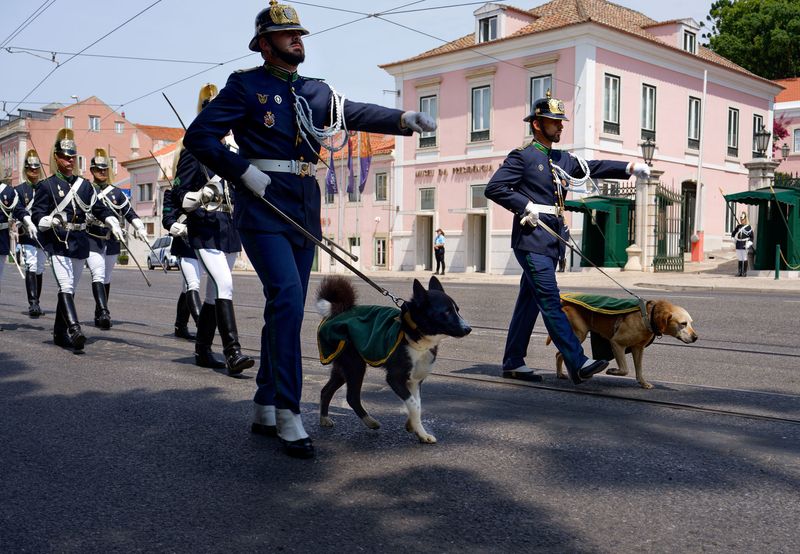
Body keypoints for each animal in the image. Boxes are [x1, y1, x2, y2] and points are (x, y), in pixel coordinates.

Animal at [316, 274, 472, 442]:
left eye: (457, 310)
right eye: (447, 312)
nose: (469, 329)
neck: (413, 332)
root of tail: (337, 312)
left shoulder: (415, 380)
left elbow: (417, 403)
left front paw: (414, 426)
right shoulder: (395, 378)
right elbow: (413, 404)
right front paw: (422, 433)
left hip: (342, 367)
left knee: (326, 390)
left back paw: (324, 419)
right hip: (355, 365)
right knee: (352, 397)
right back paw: (370, 421)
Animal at [552, 298, 700, 388]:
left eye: (691, 323)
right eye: (683, 323)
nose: (696, 337)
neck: (648, 317)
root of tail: (564, 303)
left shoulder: (638, 349)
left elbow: (639, 369)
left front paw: (643, 383)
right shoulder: (616, 343)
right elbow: (624, 369)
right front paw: (613, 371)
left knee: (559, 353)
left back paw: (561, 374)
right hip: (579, 334)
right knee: (561, 352)